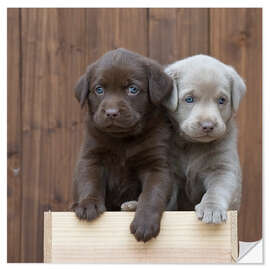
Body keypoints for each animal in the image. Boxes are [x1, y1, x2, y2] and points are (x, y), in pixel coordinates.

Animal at [162, 54, 247, 224]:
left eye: (222, 100)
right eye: (189, 99)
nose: (208, 125)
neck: (191, 145)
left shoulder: (222, 168)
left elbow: (217, 189)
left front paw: (212, 209)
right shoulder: (170, 170)